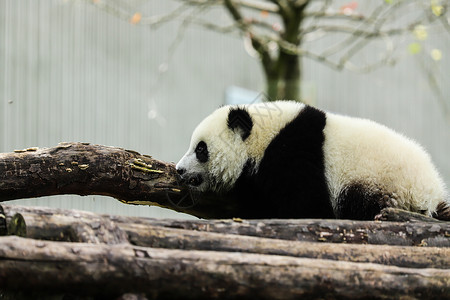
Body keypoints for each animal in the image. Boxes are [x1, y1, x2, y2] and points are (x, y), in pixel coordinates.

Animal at [175, 101, 446, 220]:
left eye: (201, 149)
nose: (179, 170)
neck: (264, 138)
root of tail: (432, 193)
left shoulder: (294, 154)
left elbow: (308, 205)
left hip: (378, 183)